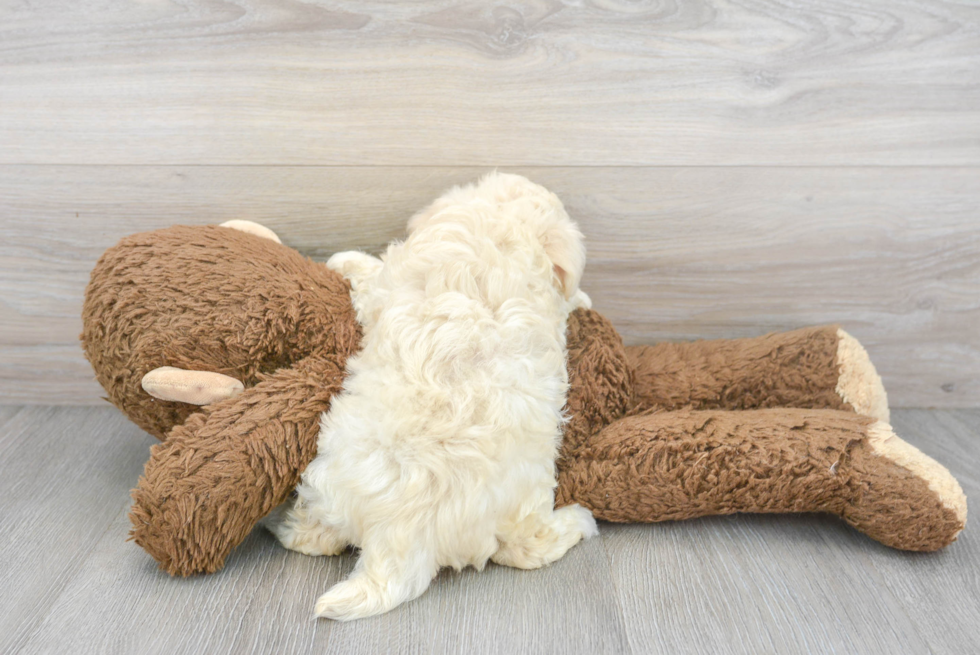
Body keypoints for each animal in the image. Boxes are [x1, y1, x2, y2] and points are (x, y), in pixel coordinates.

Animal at [268, 173, 596, 620]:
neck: (502, 230)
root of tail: (403, 534)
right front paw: (582, 297)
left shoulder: (385, 284)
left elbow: (370, 274)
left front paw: (344, 259)